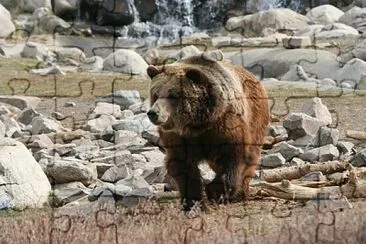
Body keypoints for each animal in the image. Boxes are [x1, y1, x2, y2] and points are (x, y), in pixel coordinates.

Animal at [145, 50, 268, 211]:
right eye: (156, 94)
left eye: (172, 95)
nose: (153, 113)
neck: (197, 124)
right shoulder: (178, 138)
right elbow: (183, 166)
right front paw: (192, 201)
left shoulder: (225, 125)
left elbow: (233, 156)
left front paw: (217, 192)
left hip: (255, 117)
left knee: (251, 156)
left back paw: (241, 191)